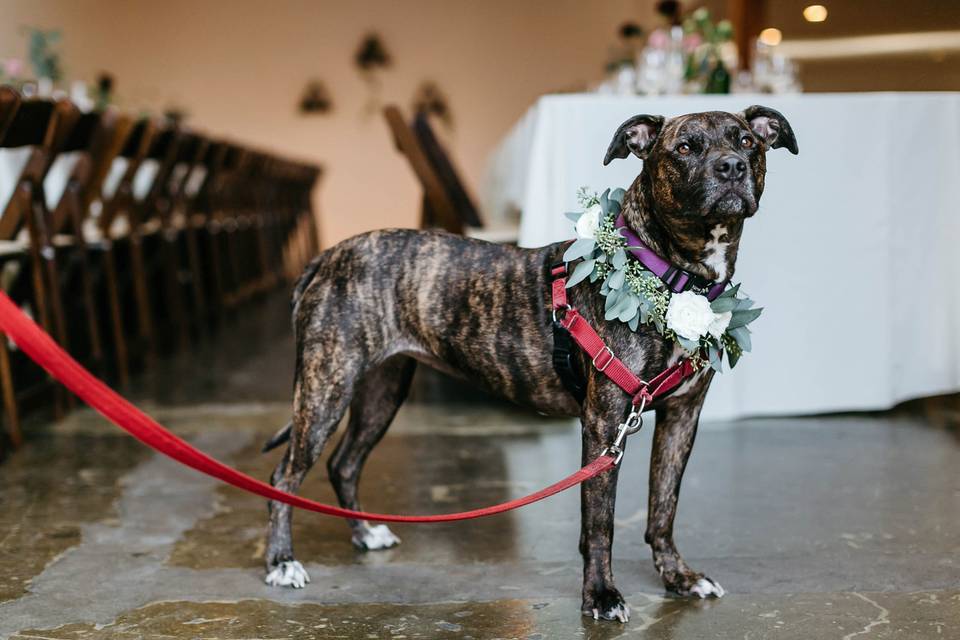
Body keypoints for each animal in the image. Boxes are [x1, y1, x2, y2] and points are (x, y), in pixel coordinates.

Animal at [260, 107, 796, 624]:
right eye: (685, 148)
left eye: (748, 141)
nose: (732, 167)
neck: (669, 275)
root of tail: (328, 256)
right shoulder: (605, 425)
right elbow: (599, 523)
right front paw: (600, 597)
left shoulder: (682, 417)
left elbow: (662, 510)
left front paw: (679, 579)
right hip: (327, 386)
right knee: (284, 475)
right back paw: (282, 562)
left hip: (381, 389)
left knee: (344, 464)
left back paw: (364, 535)